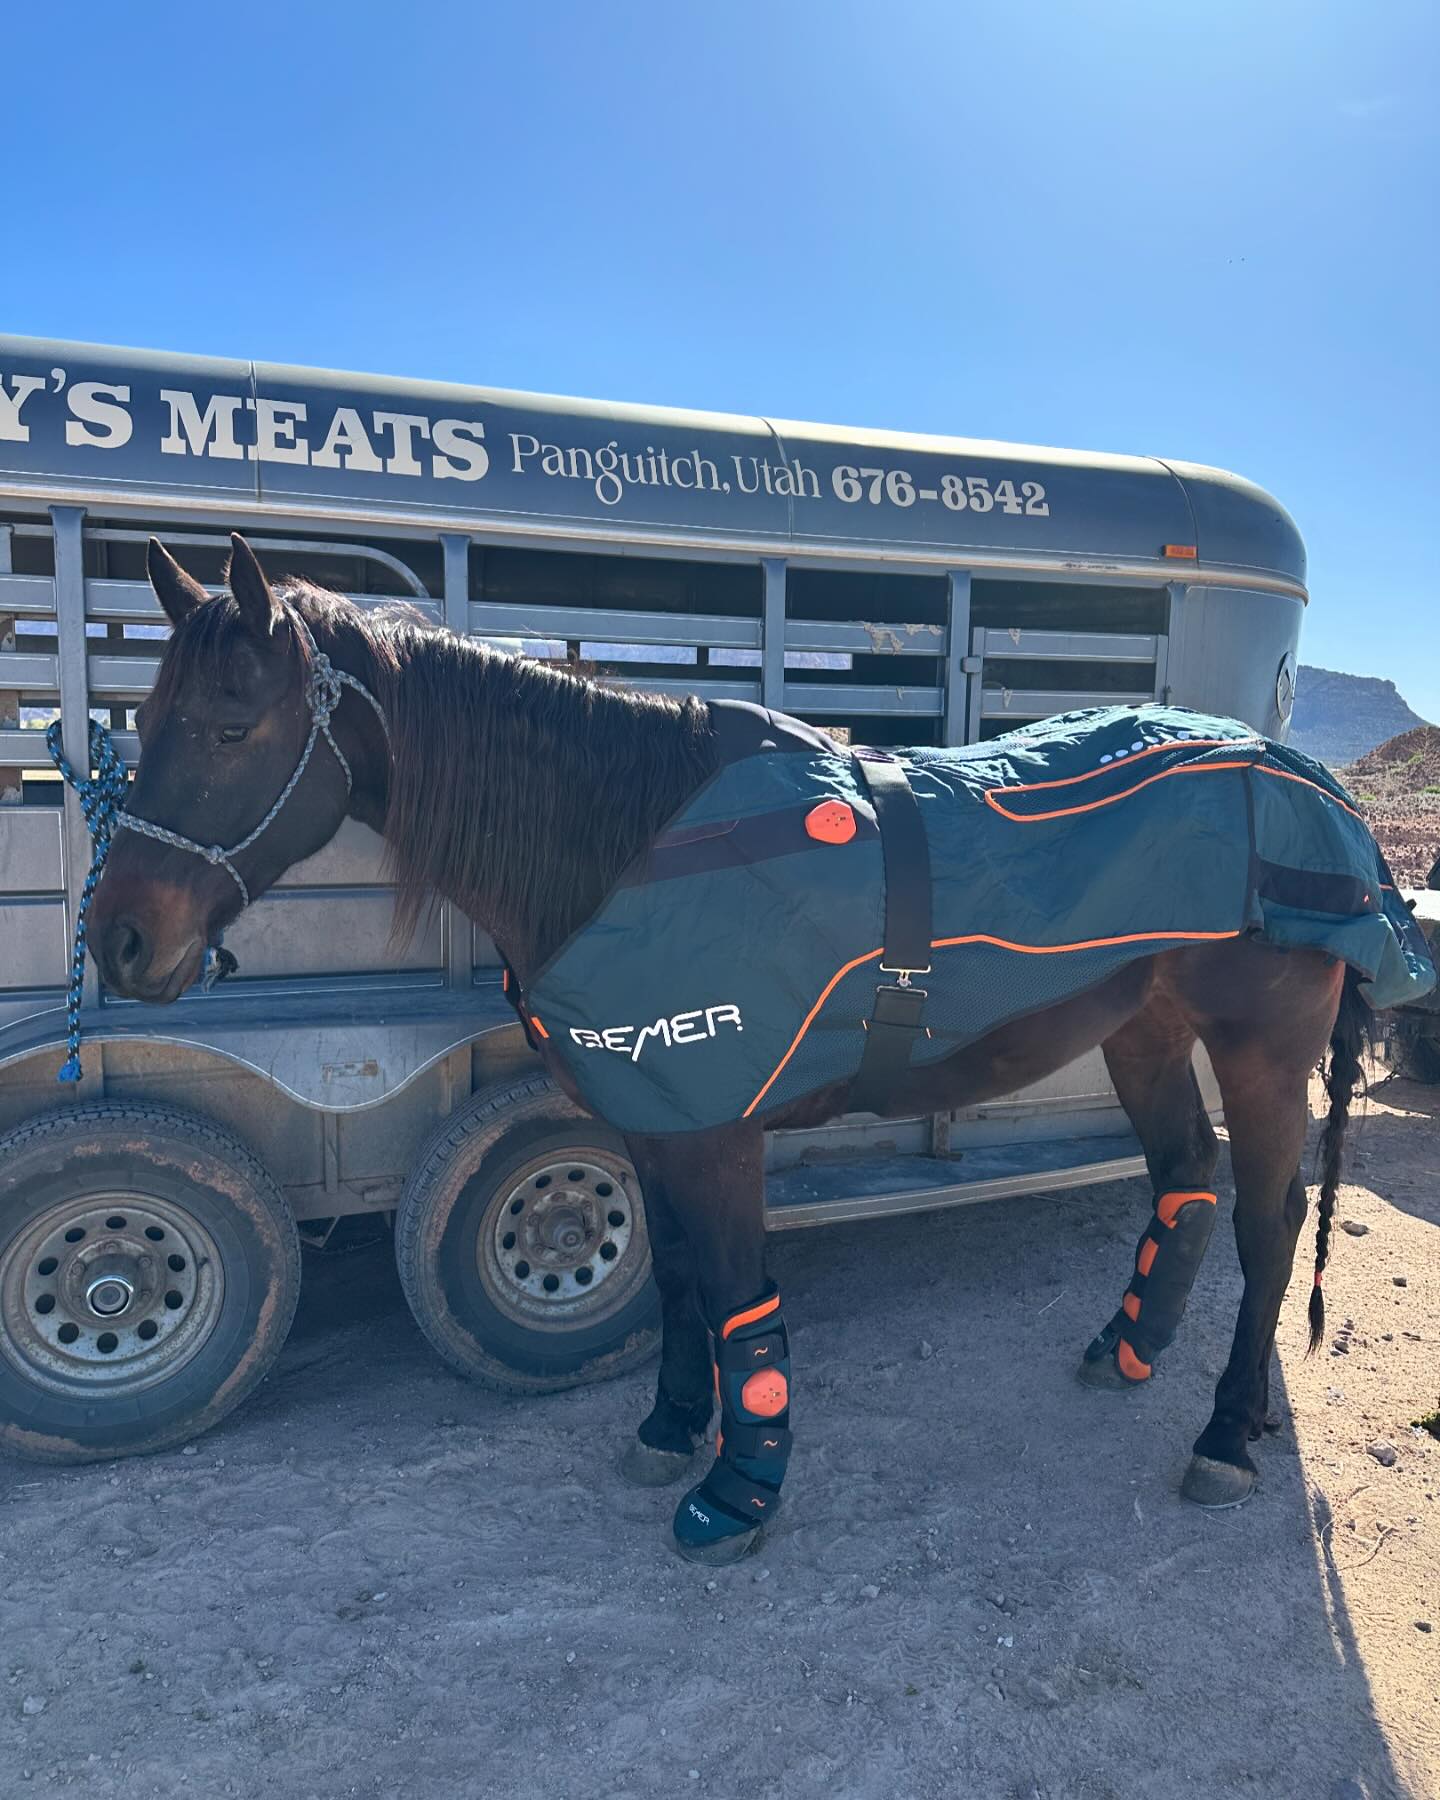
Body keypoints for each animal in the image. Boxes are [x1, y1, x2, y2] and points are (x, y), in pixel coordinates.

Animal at [90, 532, 1375, 1562]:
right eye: (139, 721)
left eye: (231, 725)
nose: (122, 940)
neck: (626, 845)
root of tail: (1297, 774)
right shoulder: (651, 1116)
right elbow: (677, 1285)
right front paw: (669, 1428)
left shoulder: (719, 1129)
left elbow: (743, 1302)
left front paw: (741, 1490)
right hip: (1143, 1031)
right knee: (1184, 1178)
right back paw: (1128, 1350)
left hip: (1262, 1048)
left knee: (1266, 1221)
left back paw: (1226, 1432)